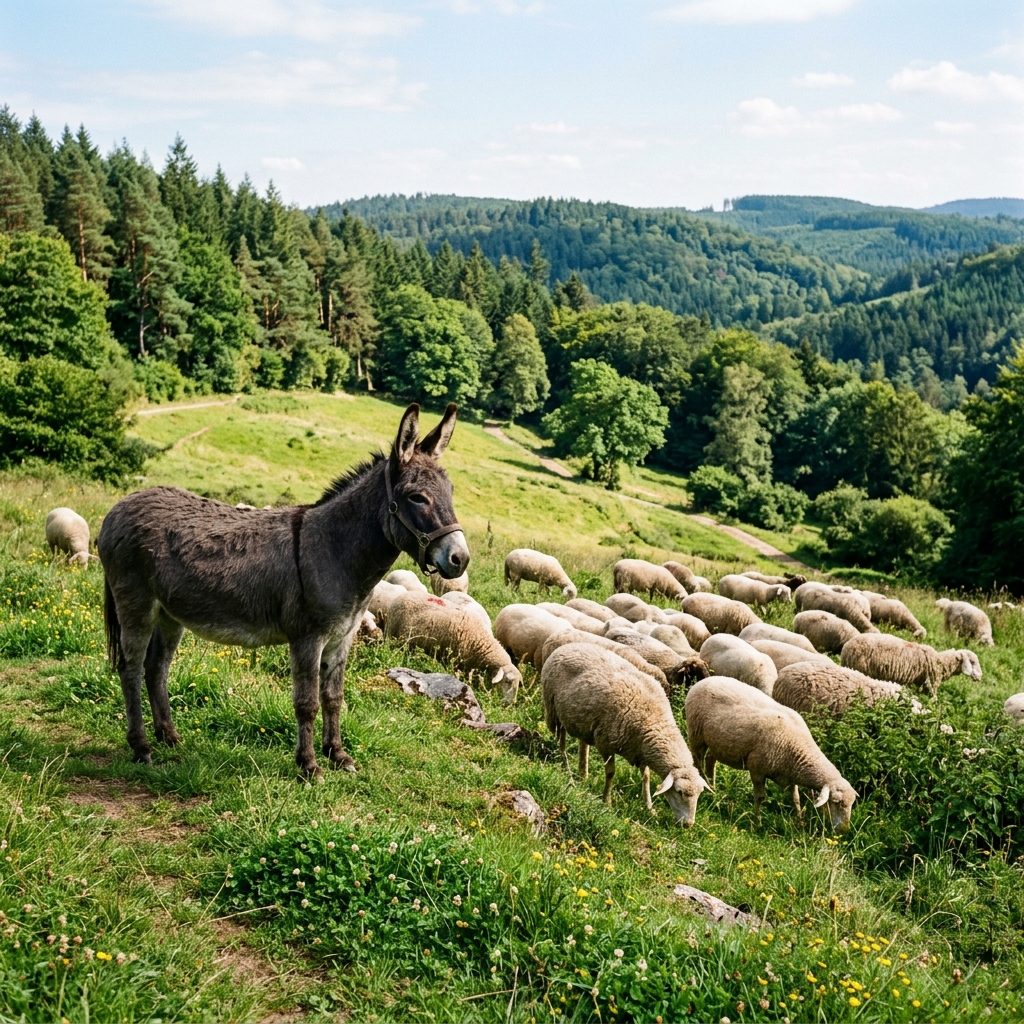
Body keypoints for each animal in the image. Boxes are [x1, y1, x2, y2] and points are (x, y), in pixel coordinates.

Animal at [386, 592, 523, 702]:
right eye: (507, 681)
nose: (509, 704)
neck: (480, 641)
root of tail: (403, 595)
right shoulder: (454, 661)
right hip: (392, 634)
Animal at [541, 642, 710, 824]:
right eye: (679, 792)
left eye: (699, 794)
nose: (689, 825)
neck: (655, 720)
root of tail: (568, 646)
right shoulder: (606, 743)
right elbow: (610, 773)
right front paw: (607, 801)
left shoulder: (641, 747)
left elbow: (646, 777)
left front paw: (649, 807)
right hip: (554, 709)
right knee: (561, 741)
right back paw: (566, 768)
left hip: (584, 721)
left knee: (583, 744)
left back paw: (583, 774)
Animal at [685, 676, 858, 830]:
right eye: (836, 802)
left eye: (851, 804)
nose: (844, 830)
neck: (799, 746)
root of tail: (704, 680)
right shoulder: (757, 769)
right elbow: (760, 798)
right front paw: (757, 823)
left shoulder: (789, 775)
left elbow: (796, 798)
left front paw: (799, 820)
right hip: (696, 734)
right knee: (698, 760)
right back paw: (707, 788)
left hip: (720, 744)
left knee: (710, 760)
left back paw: (714, 789)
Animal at [841, 633, 982, 696]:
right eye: (972, 662)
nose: (980, 677)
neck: (941, 662)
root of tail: (846, 647)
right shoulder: (932, 682)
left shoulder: (921, 683)